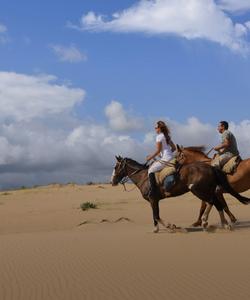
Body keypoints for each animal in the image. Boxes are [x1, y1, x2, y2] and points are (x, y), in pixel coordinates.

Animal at [111, 155, 250, 232]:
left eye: (116, 167)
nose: (112, 181)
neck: (143, 177)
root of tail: (211, 167)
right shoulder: (154, 200)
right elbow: (156, 215)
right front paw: (163, 227)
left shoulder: (153, 199)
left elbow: (156, 215)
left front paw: (167, 227)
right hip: (208, 190)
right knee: (216, 204)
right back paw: (221, 224)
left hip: (198, 190)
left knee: (213, 202)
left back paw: (209, 222)